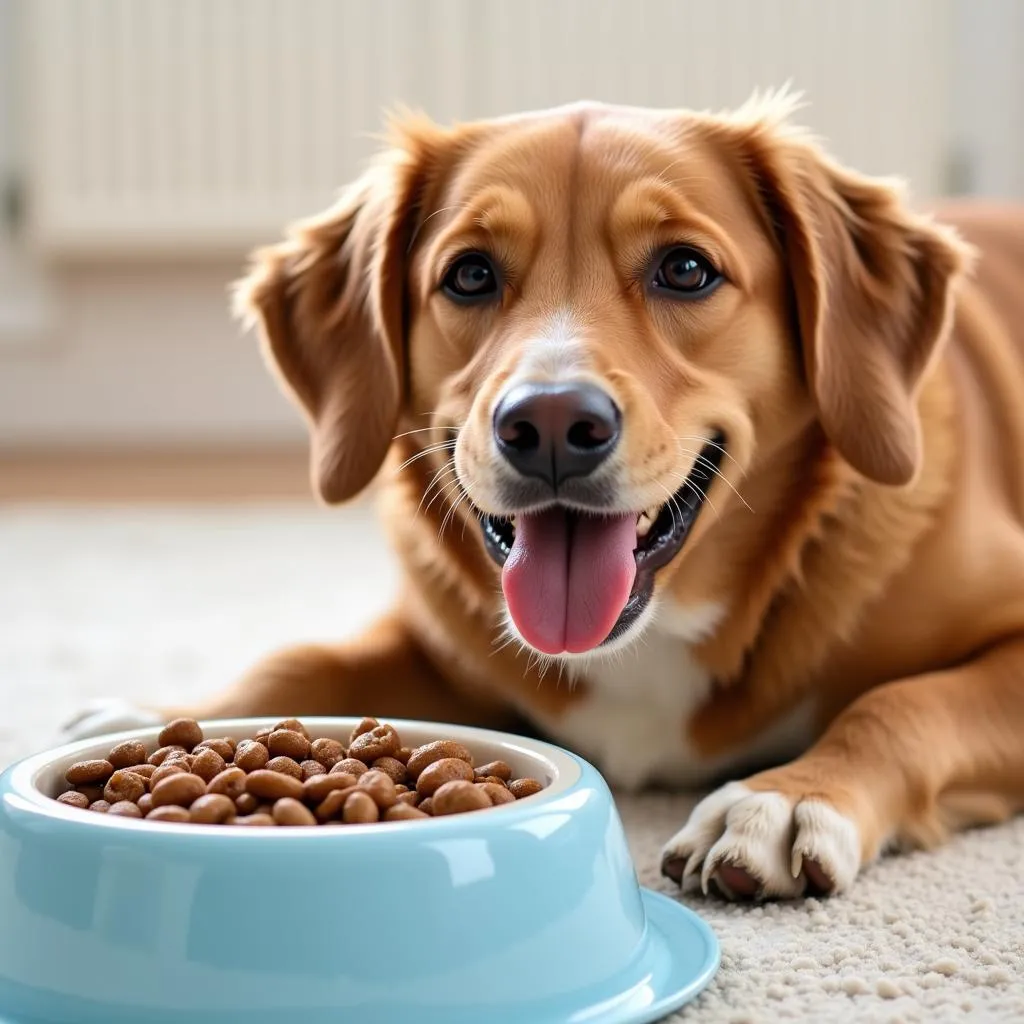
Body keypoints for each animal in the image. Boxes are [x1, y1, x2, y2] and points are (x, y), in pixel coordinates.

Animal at [68, 92, 1024, 901]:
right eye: (469, 275)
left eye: (685, 268)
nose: (553, 423)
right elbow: (302, 664)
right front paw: (160, 715)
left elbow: (898, 704)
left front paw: (787, 797)